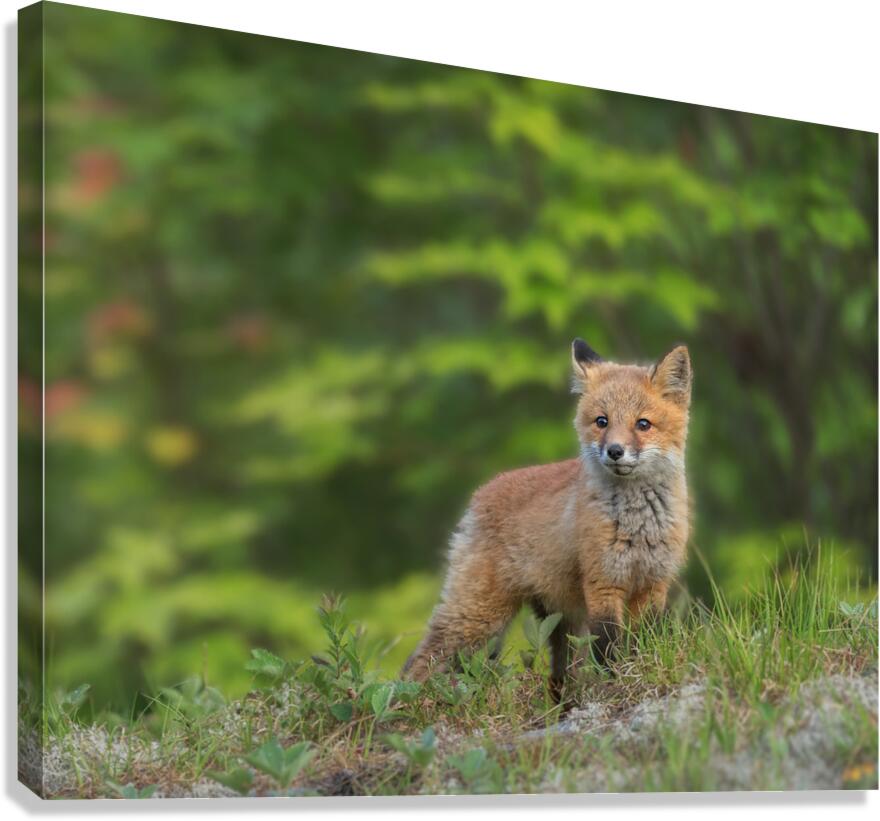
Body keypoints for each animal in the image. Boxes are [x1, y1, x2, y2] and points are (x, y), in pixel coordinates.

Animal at [402, 338, 692, 698]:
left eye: (643, 424)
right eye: (602, 421)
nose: (614, 451)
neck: (637, 525)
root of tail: (481, 492)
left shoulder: (654, 583)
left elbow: (642, 640)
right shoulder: (603, 583)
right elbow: (608, 648)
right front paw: (614, 684)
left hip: (558, 618)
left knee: (559, 673)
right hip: (478, 616)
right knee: (420, 661)